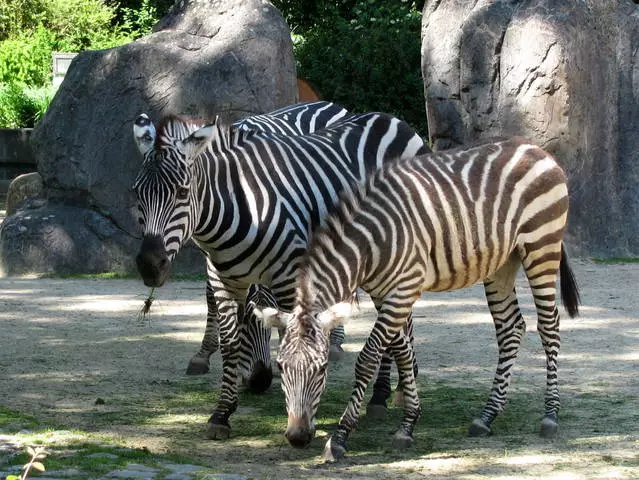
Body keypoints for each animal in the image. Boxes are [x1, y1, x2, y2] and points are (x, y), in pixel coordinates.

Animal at [130, 104, 430, 438]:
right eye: (136, 193)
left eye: (182, 193)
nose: (150, 265)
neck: (239, 204)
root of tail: (392, 120)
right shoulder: (222, 280)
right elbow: (230, 342)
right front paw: (222, 413)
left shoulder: (289, 277)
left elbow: (296, 341)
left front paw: (299, 416)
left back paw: (382, 394)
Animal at [258, 136, 580, 462]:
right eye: (281, 366)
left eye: (322, 368)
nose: (297, 438)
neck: (370, 244)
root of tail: (535, 148)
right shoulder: (385, 293)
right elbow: (402, 350)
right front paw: (409, 423)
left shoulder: (404, 288)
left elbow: (369, 358)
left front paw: (340, 437)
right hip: (502, 261)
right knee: (511, 329)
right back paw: (487, 416)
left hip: (541, 245)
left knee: (549, 327)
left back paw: (550, 415)